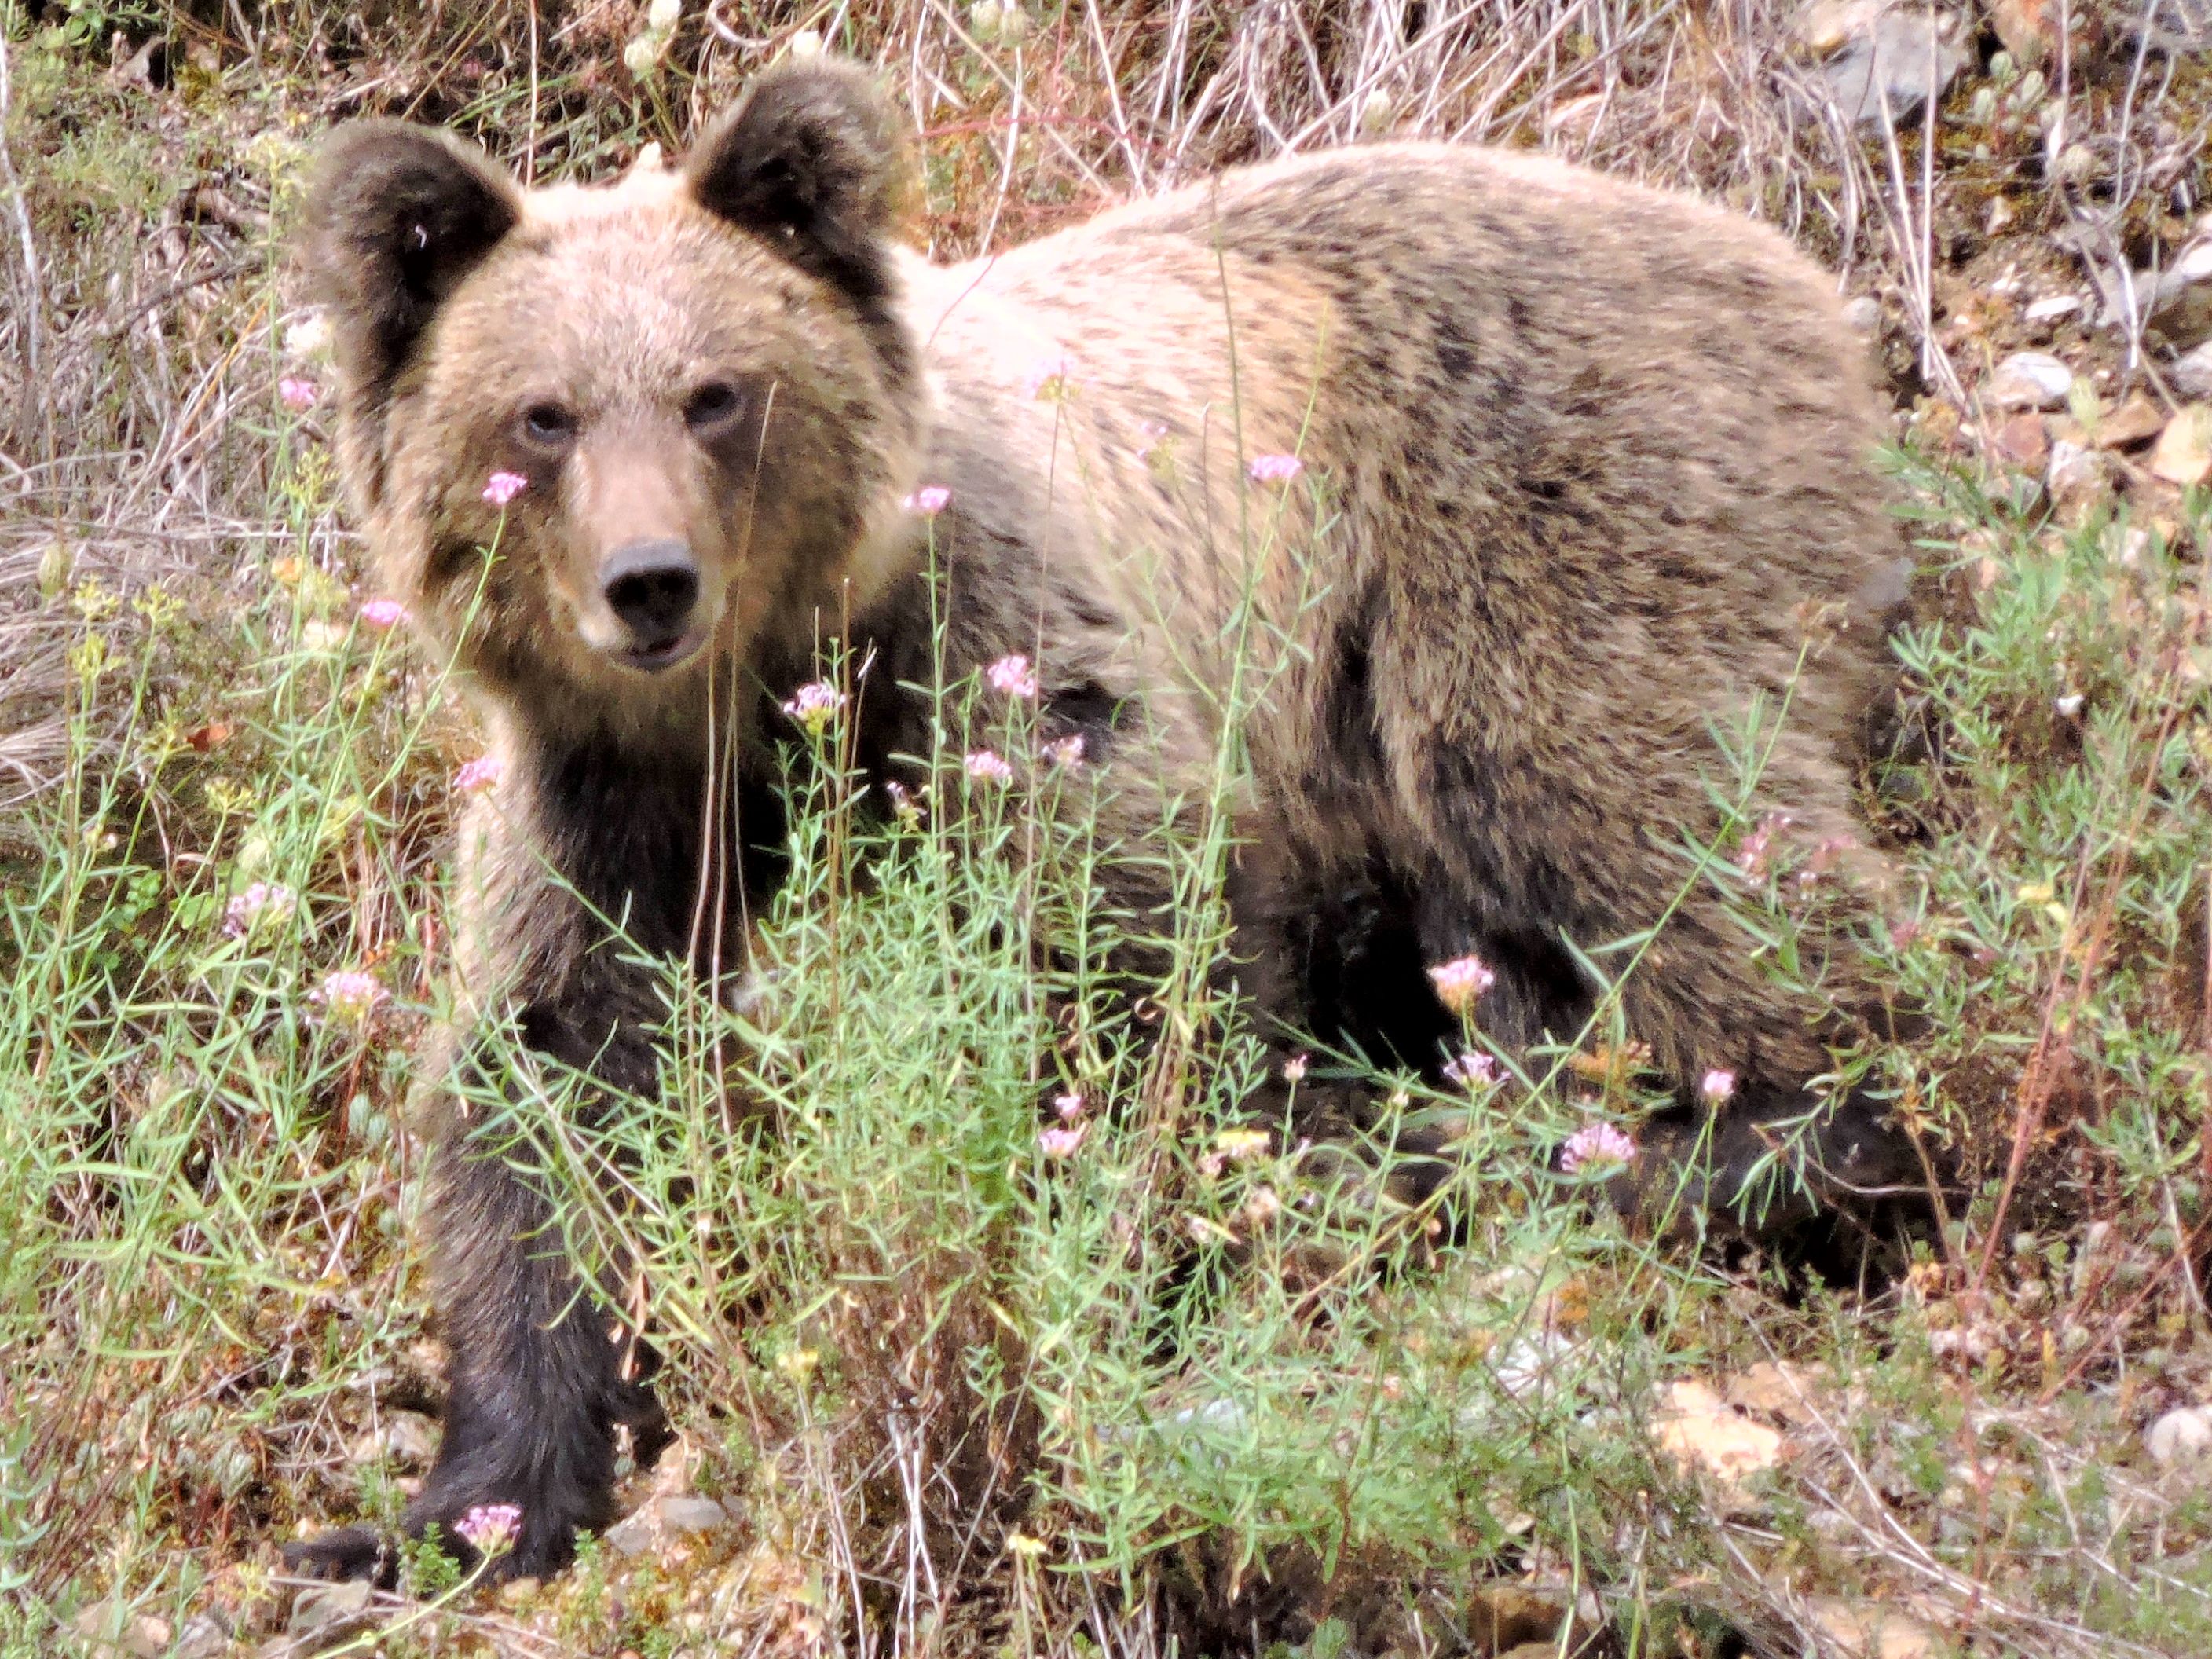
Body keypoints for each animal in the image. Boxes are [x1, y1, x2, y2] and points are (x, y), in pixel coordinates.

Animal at [289, 55, 1920, 1584]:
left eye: (716, 391)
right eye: (544, 414)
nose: (649, 582)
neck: (770, 691)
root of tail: (1789, 271)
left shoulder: (1012, 664)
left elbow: (1122, 986)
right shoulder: (604, 790)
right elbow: (545, 1069)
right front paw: (454, 1502)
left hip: (1542, 521)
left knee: (1640, 824)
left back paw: (1766, 1144)